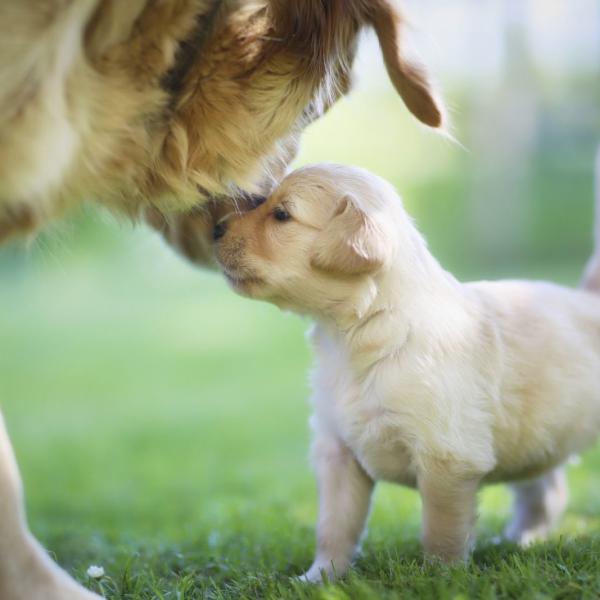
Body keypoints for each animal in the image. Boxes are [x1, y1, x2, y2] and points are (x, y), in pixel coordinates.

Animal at [212, 164, 600, 580]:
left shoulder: (447, 459)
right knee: (546, 490)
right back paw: (519, 539)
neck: (358, 335)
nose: (215, 228)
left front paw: (440, 578)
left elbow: (441, 531)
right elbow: (334, 526)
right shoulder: (337, 452)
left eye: (282, 214)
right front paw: (321, 576)